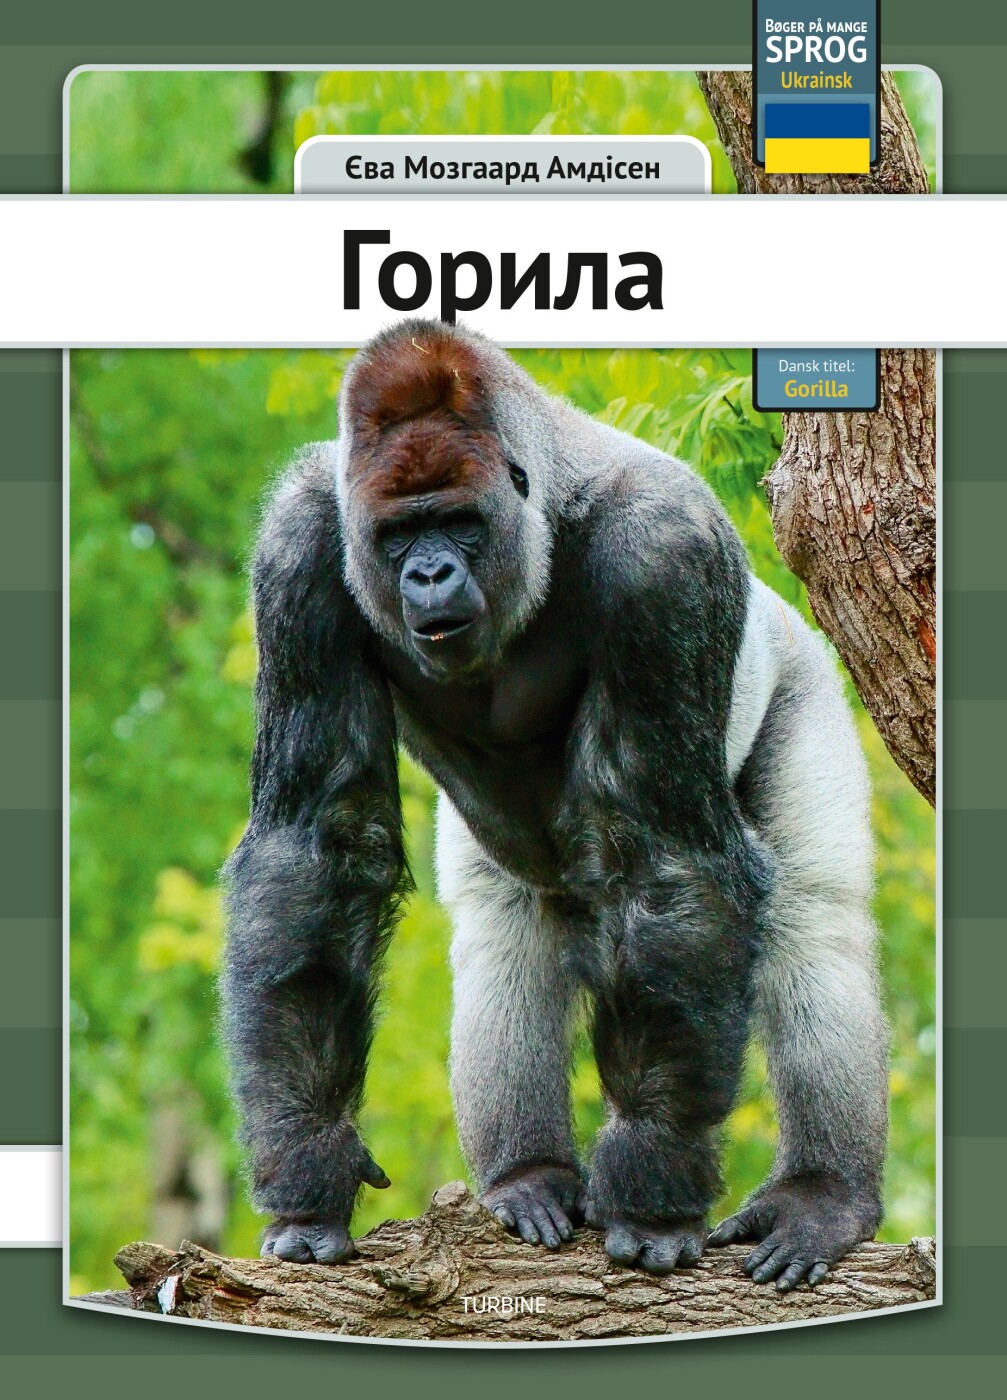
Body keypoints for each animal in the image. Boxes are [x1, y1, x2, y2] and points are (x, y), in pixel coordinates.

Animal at [221, 318, 888, 1289]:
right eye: (398, 534)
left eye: (458, 523)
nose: (428, 575)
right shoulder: (300, 547)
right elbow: (314, 850)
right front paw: (309, 1168)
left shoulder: (665, 553)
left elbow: (666, 861)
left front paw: (652, 1190)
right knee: (504, 934)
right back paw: (525, 1177)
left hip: (799, 667)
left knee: (813, 920)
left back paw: (821, 1195)